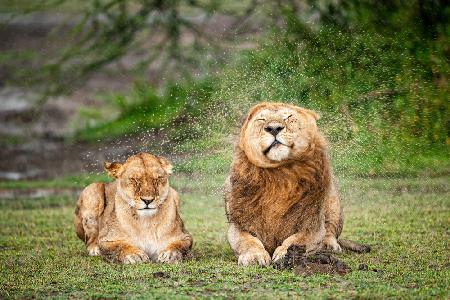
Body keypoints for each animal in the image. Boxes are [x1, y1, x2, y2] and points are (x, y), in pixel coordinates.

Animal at [225, 102, 370, 266]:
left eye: (288, 117)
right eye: (261, 119)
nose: (274, 128)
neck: (279, 177)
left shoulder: (312, 225)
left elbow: (296, 240)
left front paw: (285, 255)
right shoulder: (238, 225)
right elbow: (248, 241)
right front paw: (255, 256)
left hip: (334, 203)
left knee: (330, 230)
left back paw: (328, 245)